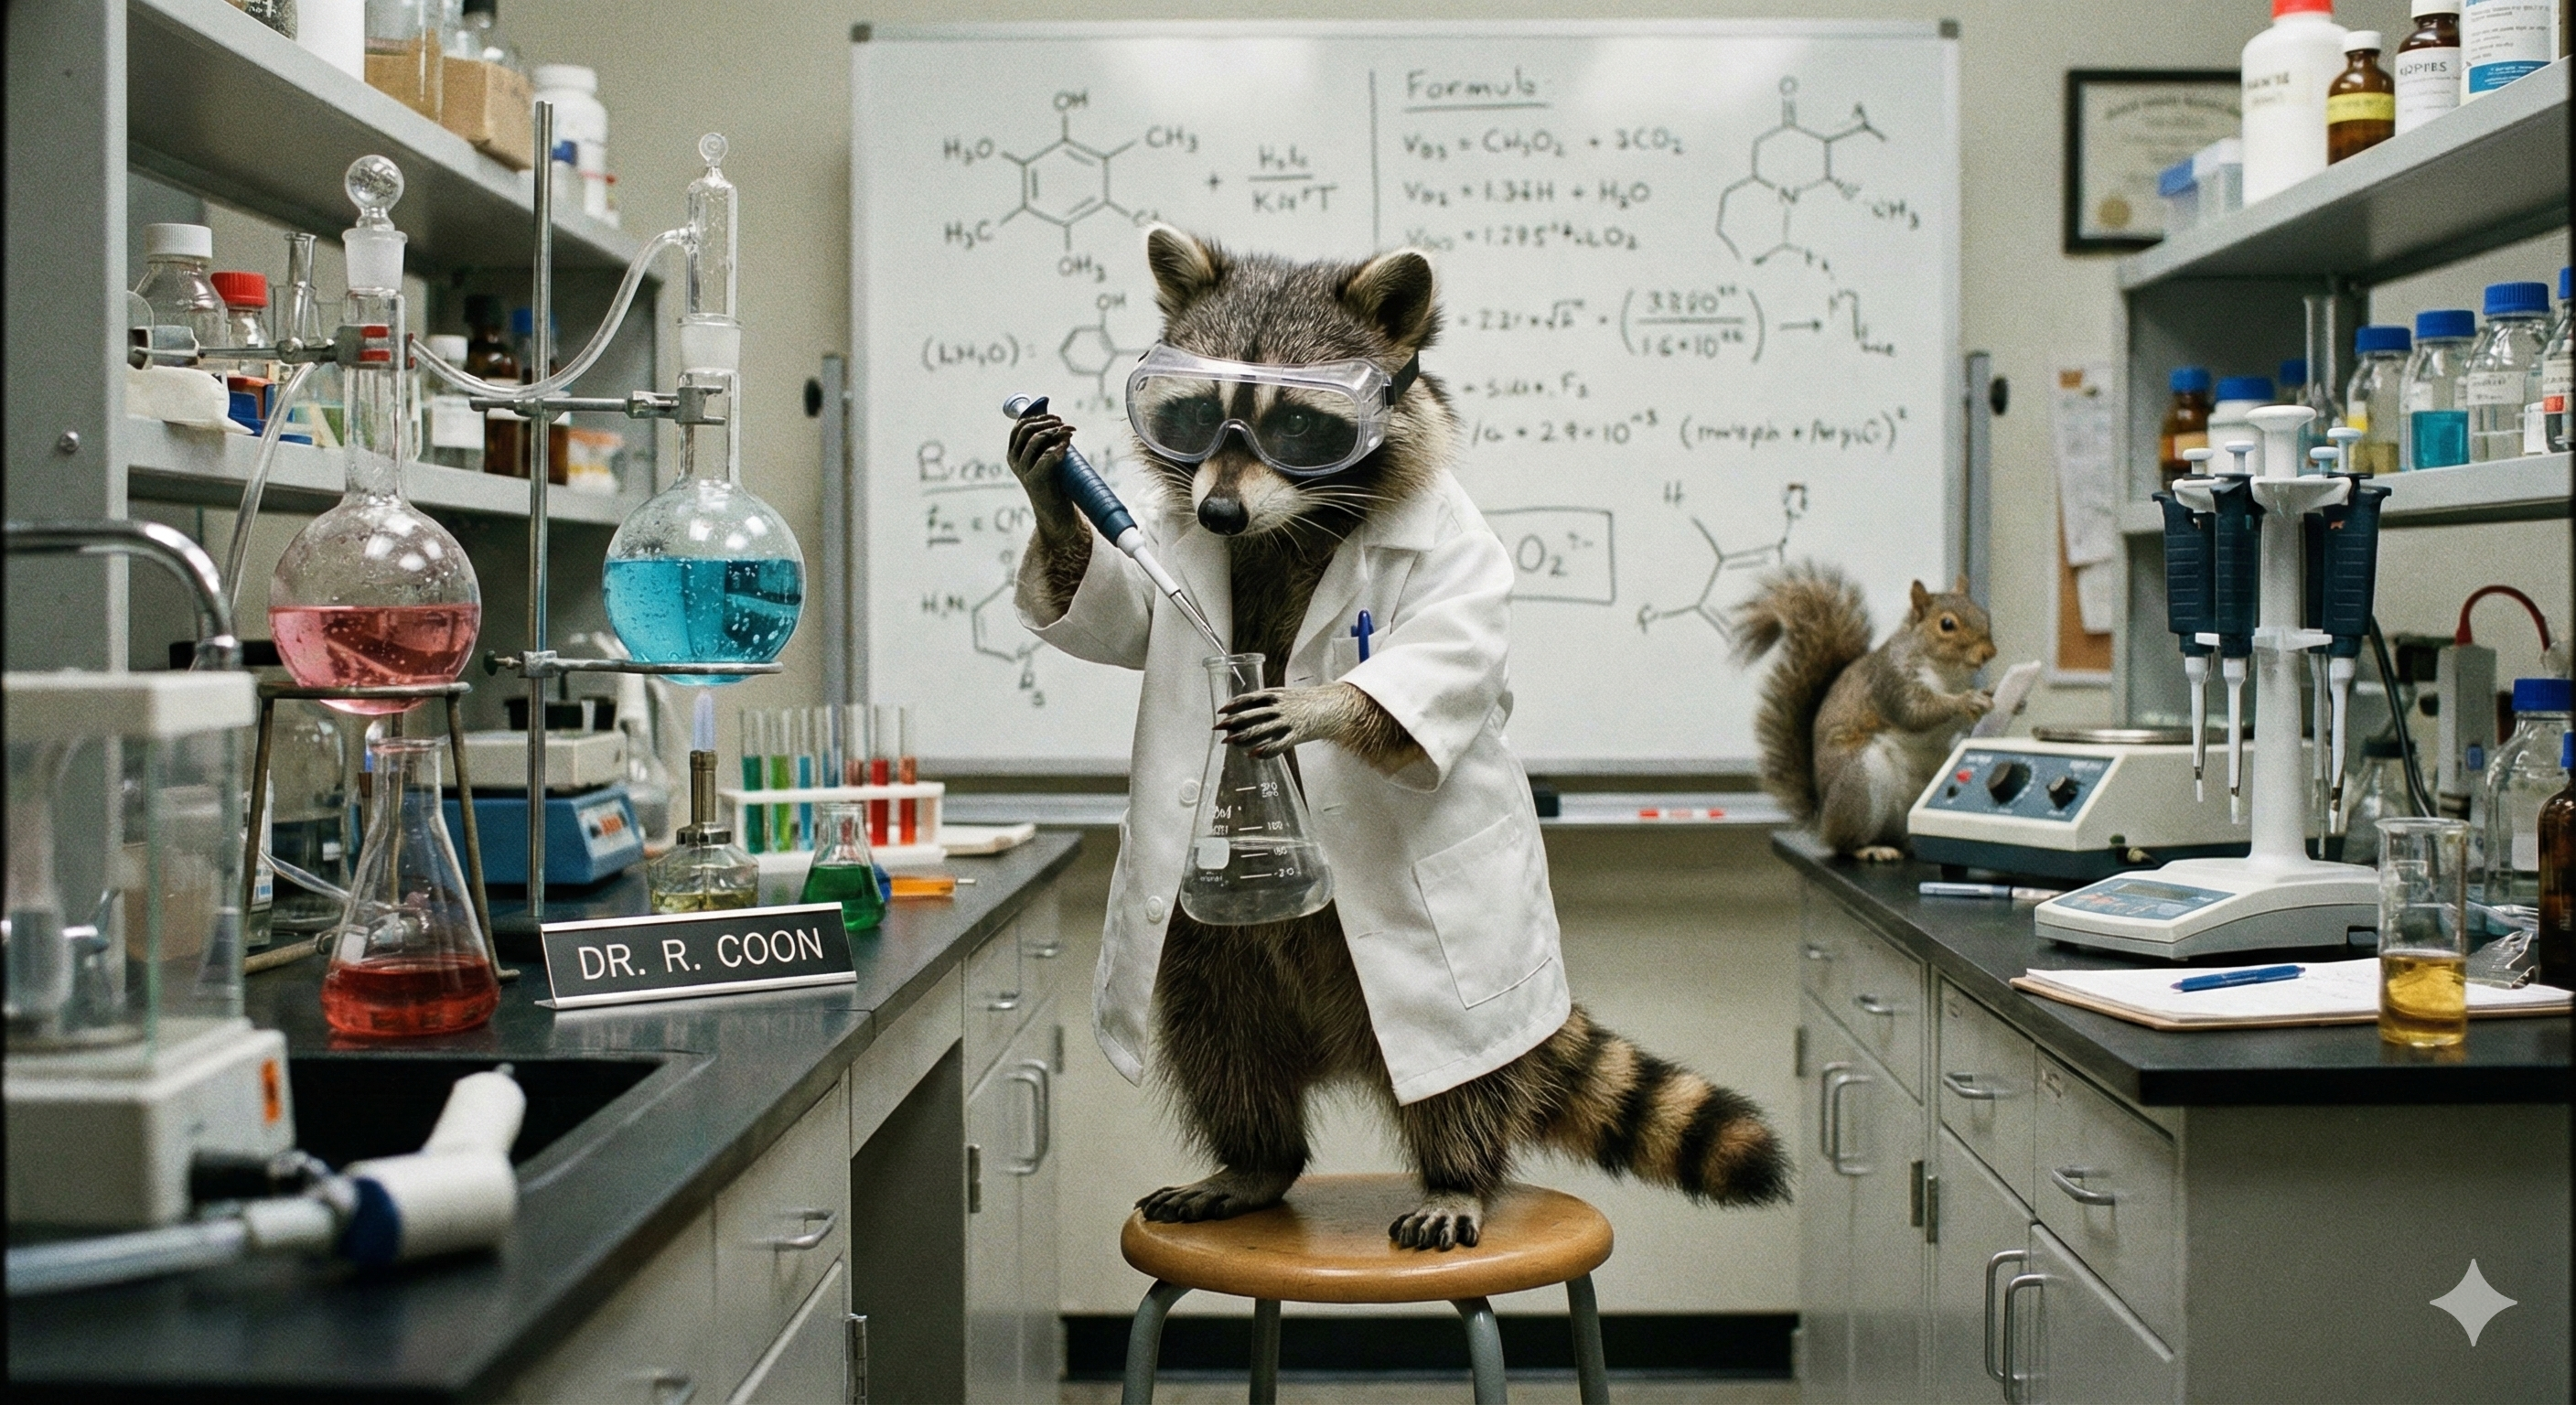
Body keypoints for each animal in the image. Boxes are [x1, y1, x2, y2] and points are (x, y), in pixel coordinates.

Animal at [1012, 227, 1788, 1249]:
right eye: (1196, 409)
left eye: (1298, 427)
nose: (1219, 513)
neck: (1294, 521)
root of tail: (1338, 1046)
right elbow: (1121, 615)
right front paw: (1053, 500)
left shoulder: (1461, 554)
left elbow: (1436, 660)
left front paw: (1319, 705)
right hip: (1200, 943)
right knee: (1219, 1036)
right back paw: (1256, 1156)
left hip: (1443, 1019)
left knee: (1463, 1083)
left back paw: (1457, 1170)